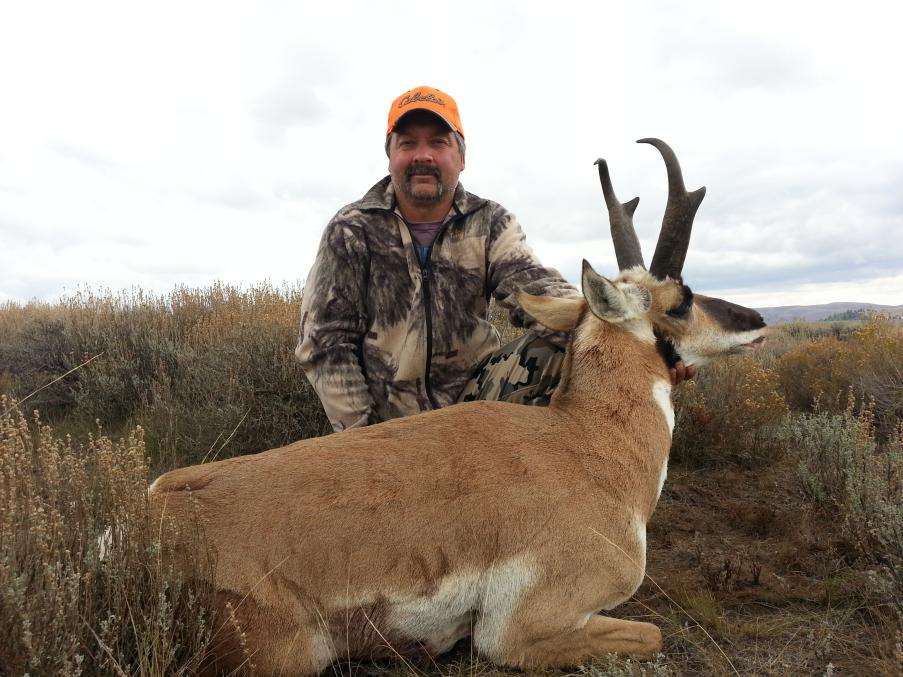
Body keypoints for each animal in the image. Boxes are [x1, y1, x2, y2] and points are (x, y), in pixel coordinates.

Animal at [148, 139, 766, 675]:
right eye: (681, 301)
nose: (758, 320)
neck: (581, 443)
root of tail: (143, 526)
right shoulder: (522, 631)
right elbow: (652, 633)